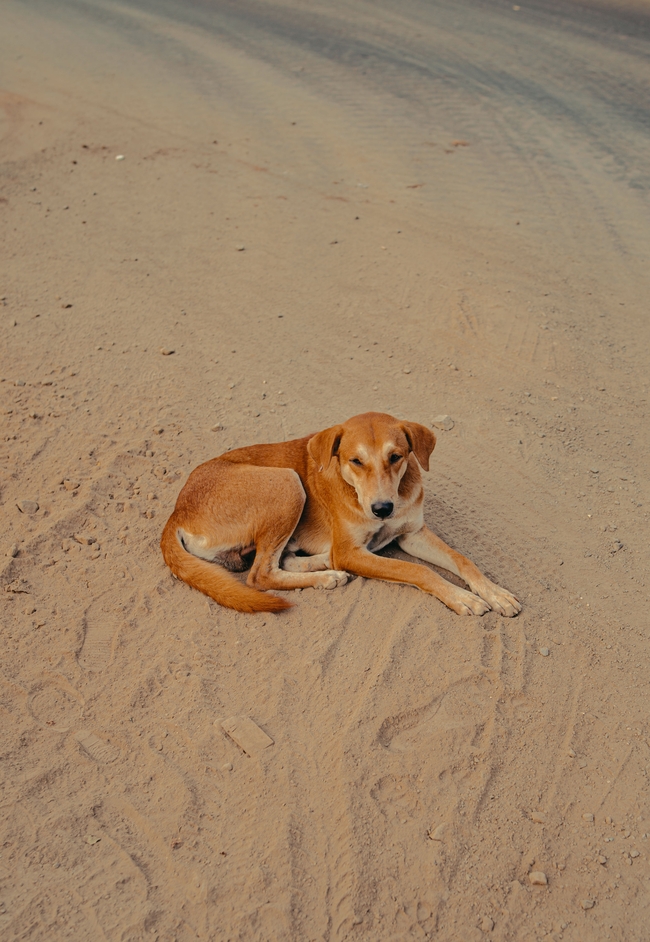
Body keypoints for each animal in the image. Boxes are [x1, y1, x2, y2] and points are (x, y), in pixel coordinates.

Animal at [161, 412, 520, 620]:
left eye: (396, 456)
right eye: (355, 461)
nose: (382, 509)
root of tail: (177, 511)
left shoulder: (412, 534)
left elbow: (462, 559)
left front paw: (495, 592)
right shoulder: (351, 550)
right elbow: (418, 571)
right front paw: (461, 597)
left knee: (279, 561)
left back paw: (322, 564)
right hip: (287, 483)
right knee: (260, 575)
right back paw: (326, 574)